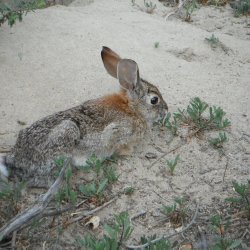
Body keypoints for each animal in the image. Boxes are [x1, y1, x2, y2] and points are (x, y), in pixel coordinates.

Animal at [0, 47, 168, 188]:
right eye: (154, 100)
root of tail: (15, 160)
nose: (166, 110)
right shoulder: (117, 131)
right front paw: (126, 152)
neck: (132, 109)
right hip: (67, 133)